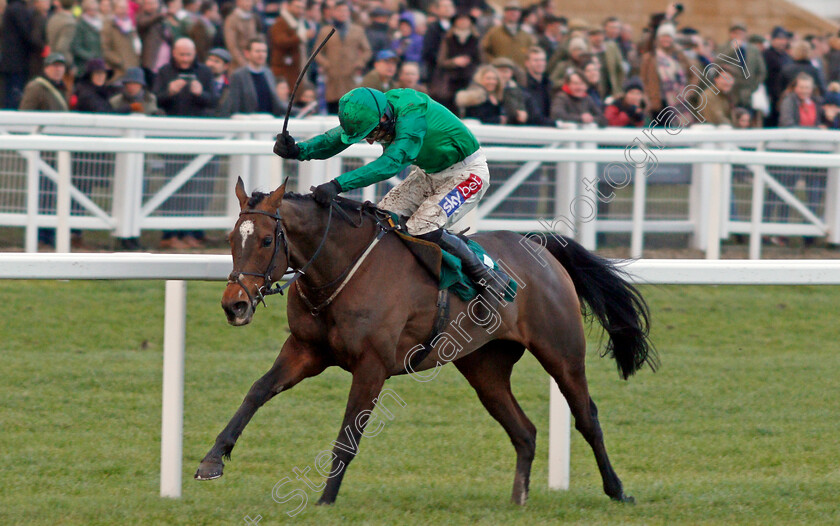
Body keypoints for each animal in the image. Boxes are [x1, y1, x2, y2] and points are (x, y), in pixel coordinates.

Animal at [197, 178, 656, 508]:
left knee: (587, 417)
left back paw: (618, 490)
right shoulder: (305, 351)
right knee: (523, 431)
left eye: (266, 241)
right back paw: (518, 500)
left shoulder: (372, 365)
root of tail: (540, 247)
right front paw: (212, 460)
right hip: (484, 367)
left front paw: (325, 500)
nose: (234, 305)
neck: (342, 268)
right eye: (231, 240)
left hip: (562, 353)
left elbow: (348, 435)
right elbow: (257, 391)